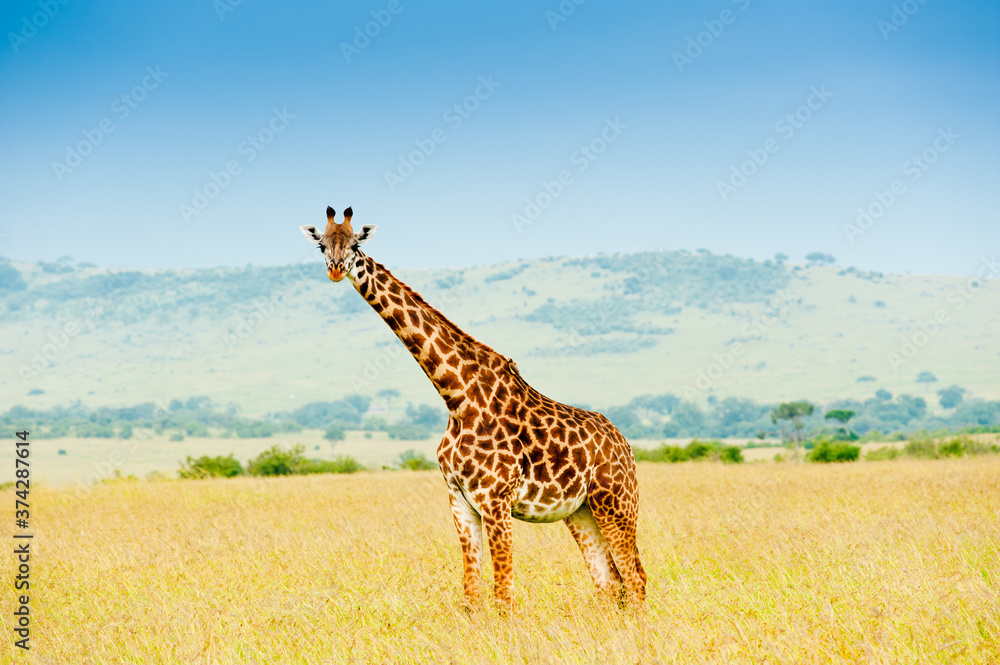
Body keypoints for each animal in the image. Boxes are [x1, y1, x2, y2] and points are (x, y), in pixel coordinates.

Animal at [300, 206, 646, 606]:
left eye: (356, 244)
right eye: (322, 245)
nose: (336, 269)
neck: (456, 396)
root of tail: (625, 444)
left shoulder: (495, 500)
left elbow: (503, 595)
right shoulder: (459, 502)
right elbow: (471, 594)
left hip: (616, 501)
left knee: (636, 578)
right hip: (581, 510)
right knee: (610, 582)